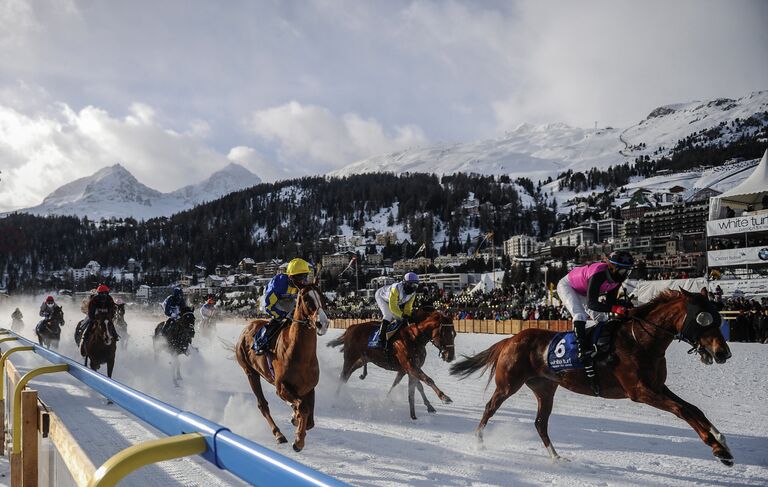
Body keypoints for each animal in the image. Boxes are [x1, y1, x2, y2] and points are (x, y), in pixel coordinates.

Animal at [234, 286, 330, 454]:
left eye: (322, 296)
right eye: (306, 299)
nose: (322, 323)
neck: (301, 355)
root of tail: (247, 328)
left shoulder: (309, 387)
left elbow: (309, 420)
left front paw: (296, 420)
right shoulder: (281, 387)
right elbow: (302, 407)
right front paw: (298, 441)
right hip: (250, 372)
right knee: (262, 405)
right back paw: (278, 434)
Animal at [326, 308, 456, 420]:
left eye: (454, 334)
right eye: (444, 333)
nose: (450, 356)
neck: (414, 337)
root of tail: (351, 328)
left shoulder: (409, 368)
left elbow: (415, 387)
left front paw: (417, 413)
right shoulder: (409, 366)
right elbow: (427, 380)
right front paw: (444, 397)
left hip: (361, 360)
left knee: (346, 376)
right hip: (350, 358)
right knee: (343, 376)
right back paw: (334, 400)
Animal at [450, 292, 736, 468]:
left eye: (718, 318)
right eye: (702, 319)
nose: (723, 352)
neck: (641, 340)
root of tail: (511, 339)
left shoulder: (657, 386)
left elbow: (693, 408)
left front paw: (721, 440)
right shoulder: (639, 391)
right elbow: (681, 410)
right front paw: (718, 448)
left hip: (545, 389)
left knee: (540, 423)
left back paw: (556, 456)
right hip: (508, 384)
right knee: (490, 407)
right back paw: (478, 441)